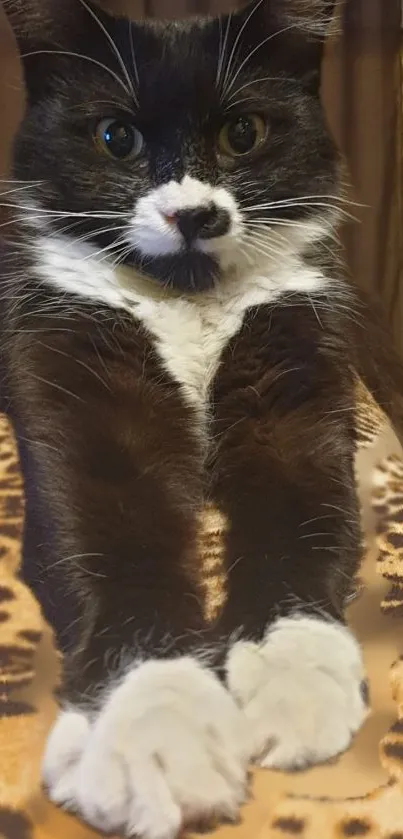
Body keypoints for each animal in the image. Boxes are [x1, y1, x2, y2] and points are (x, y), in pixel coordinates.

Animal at [0, 0, 403, 836]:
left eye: (242, 133)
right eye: (115, 137)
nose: (194, 212)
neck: (186, 296)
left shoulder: (299, 375)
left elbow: (299, 512)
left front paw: (293, 675)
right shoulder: (66, 372)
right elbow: (116, 539)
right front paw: (156, 727)